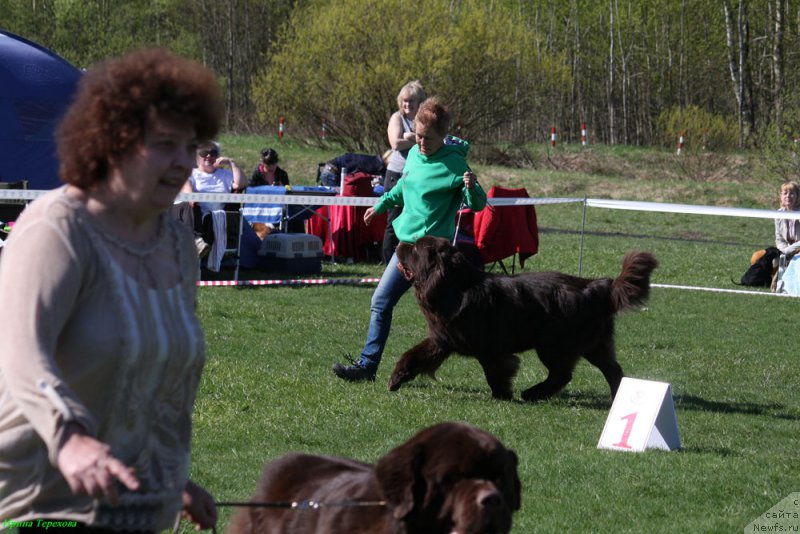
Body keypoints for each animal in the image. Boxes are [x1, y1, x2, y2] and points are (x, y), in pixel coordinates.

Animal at [388, 237, 656, 404]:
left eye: (416, 250)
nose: (399, 243)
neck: (453, 288)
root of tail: (597, 286)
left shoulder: (489, 349)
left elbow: (495, 371)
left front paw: (502, 395)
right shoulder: (442, 339)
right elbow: (413, 356)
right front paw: (395, 379)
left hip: (554, 344)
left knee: (562, 374)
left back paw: (532, 394)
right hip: (594, 344)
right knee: (612, 370)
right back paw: (616, 398)